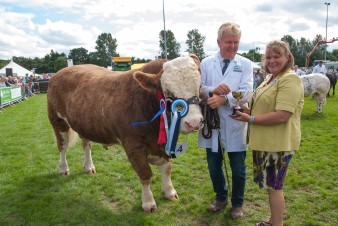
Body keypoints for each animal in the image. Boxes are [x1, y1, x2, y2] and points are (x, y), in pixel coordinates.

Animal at [46, 54, 202, 212]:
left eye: (200, 86)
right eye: (168, 93)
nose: (194, 123)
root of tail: (60, 72)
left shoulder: (164, 144)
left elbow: (167, 168)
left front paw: (170, 192)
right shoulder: (133, 146)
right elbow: (145, 174)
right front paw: (148, 203)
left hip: (84, 125)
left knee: (86, 144)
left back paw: (89, 167)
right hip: (57, 121)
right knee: (62, 147)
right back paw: (63, 169)